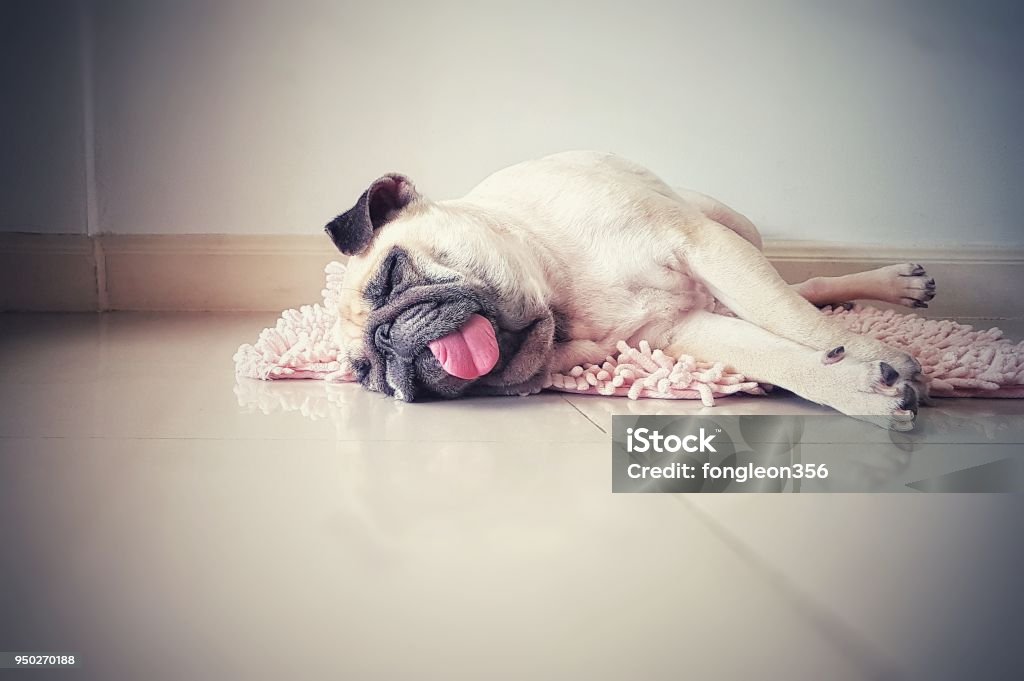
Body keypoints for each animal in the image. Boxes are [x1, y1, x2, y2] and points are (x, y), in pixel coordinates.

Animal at [325, 152, 937, 430]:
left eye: (392, 274)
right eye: (364, 373)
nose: (387, 344)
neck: (560, 292)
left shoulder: (702, 244)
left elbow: (793, 321)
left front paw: (880, 356)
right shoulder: (682, 330)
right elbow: (777, 355)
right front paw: (857, 385)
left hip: (736, 228)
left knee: (793, 290)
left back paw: (887, 289)